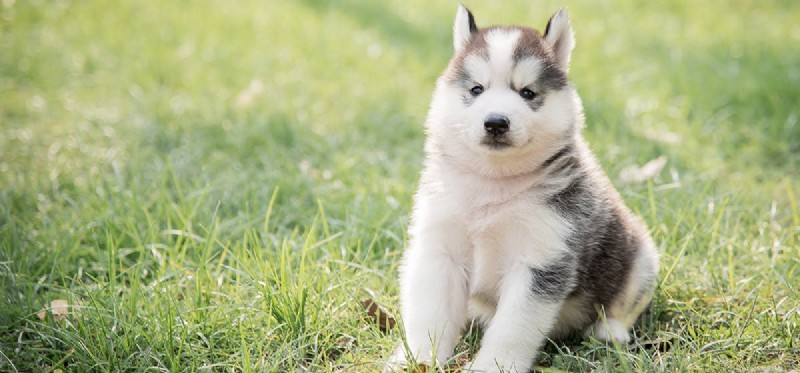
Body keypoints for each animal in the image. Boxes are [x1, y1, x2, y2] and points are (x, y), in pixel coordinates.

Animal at [386, 4, 656, 370]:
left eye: (527, 93)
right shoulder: (439, 249)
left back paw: (609, 330)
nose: (496, 122)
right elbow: (431, 313)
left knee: (627, 301)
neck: (492, 185)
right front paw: (418, 358)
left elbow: (512, 328)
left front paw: (491, 366)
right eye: (477, 90)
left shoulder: (541, 260)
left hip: (641, 256)